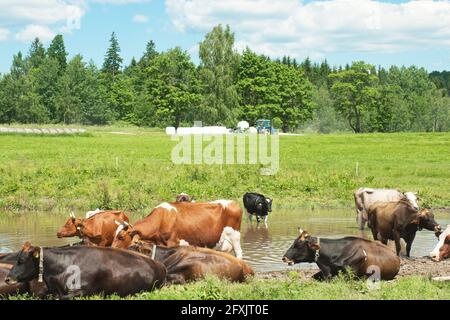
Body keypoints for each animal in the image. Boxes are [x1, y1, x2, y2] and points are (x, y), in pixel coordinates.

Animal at [111, 201, 243, 258]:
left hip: (235, 237)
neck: (161, 219)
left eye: (121, 237)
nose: (111, 249)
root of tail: (233, 202)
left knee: (239, 253)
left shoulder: (172, 243)